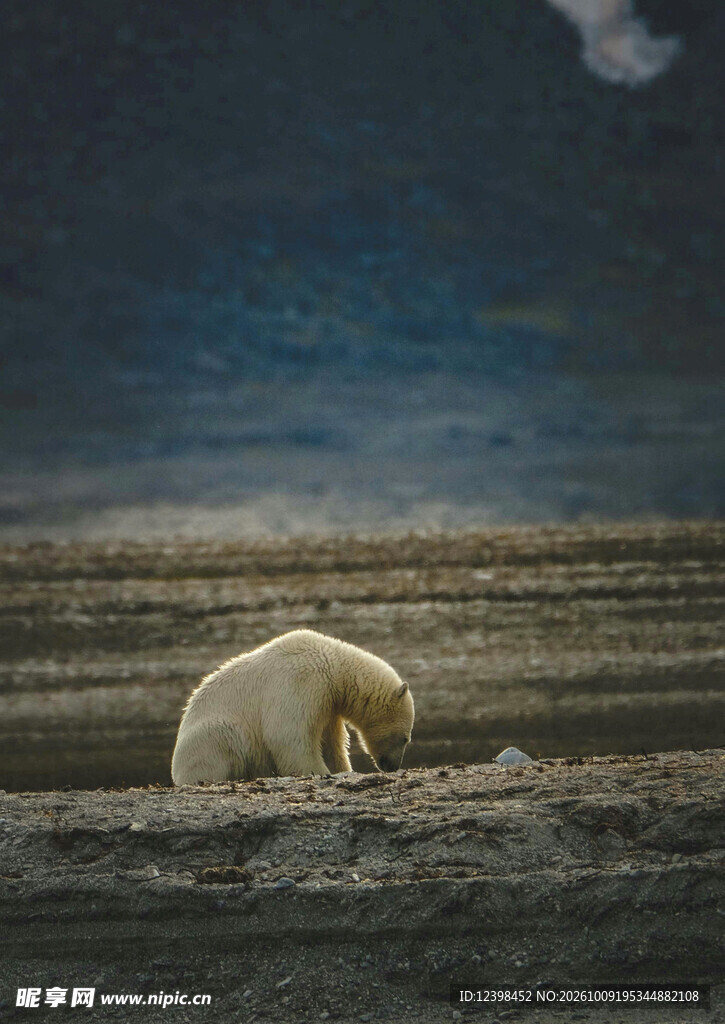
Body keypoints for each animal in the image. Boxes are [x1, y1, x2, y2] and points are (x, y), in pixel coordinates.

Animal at [171, 629, 414, 785]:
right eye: (405, 738)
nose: (393, 766)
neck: (333, 666)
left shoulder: (328, 705)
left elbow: (331, 743)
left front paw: (341, 769)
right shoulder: (302, 682)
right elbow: (288, 736)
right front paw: (318, 771)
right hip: (212, 736)